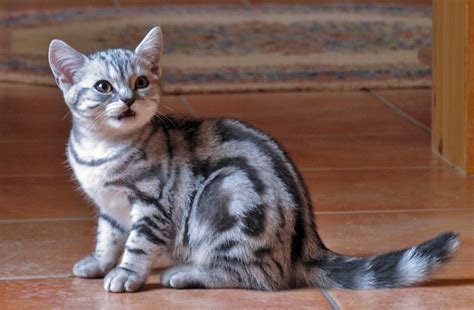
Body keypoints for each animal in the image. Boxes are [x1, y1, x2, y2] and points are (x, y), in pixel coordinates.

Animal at [48, 26, 460, 294]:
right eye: (104, 87)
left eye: (141, 82)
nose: (129, 99)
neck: (101, 151)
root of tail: (308, 242)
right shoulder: (110, 208)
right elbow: (108, 237)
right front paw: (99, 262)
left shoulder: (152, 206)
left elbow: (136, 245)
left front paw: (125, 274)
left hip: (226, 195)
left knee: (261, 277)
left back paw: (188, 273)